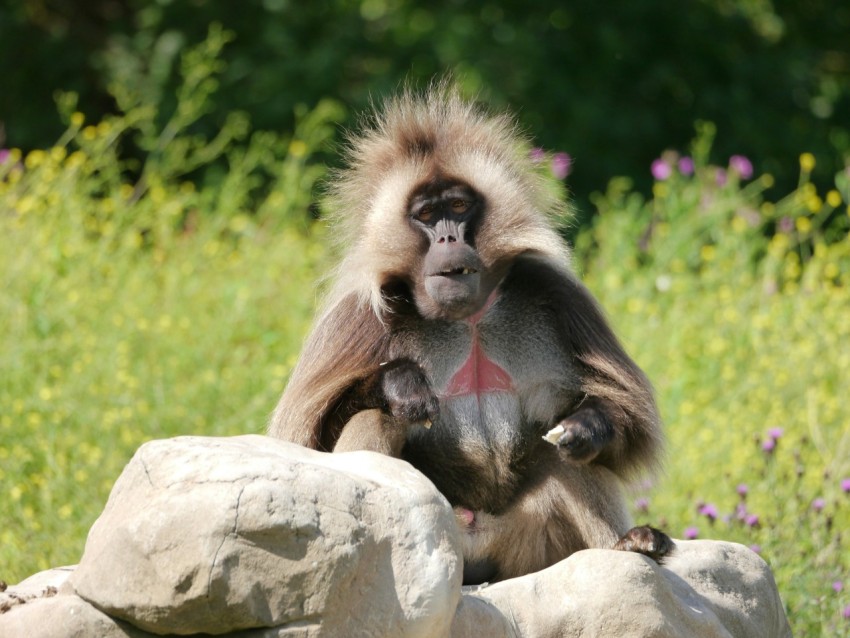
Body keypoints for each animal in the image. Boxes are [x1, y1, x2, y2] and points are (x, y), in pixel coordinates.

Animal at [269, 84, 673, 584]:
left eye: (459, 207)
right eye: (426, 214)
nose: (448, 240)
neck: (467, 317)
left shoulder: (559, 294)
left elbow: (626, 425)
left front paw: (587, 426)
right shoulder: (356, 319)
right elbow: (300, 444)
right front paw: (401, 383)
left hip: (529, 549)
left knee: (567, 456)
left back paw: (627, 544)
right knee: (377, 416)